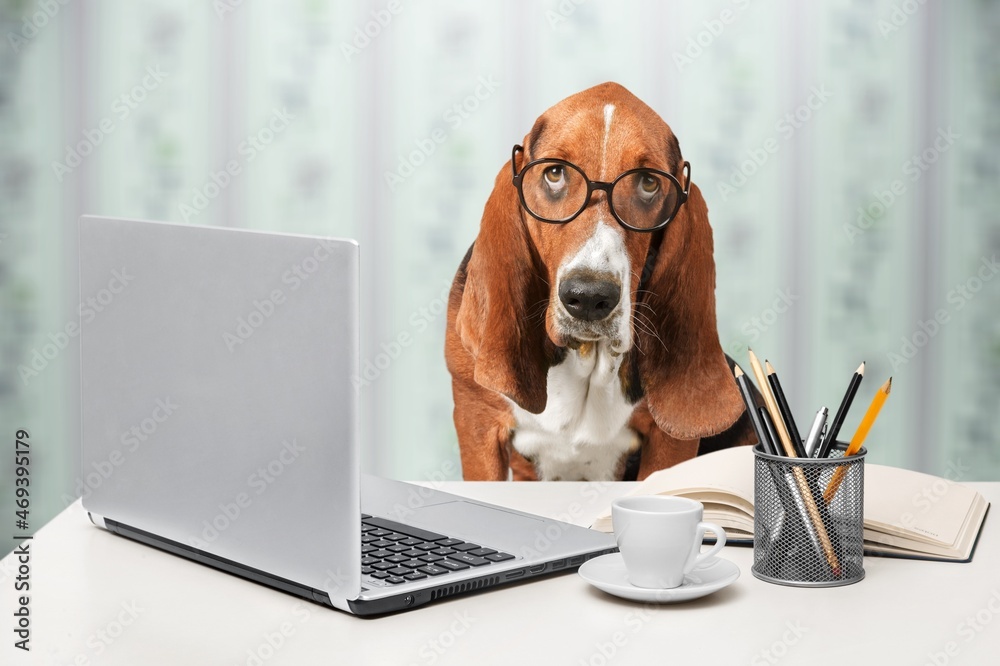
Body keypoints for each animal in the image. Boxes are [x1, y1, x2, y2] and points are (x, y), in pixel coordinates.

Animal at [444, 81, 752, 478]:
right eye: (555, 173)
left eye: (649, 182)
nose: (589, 298)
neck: (586, 357)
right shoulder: (477, 422)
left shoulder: (670, 445)